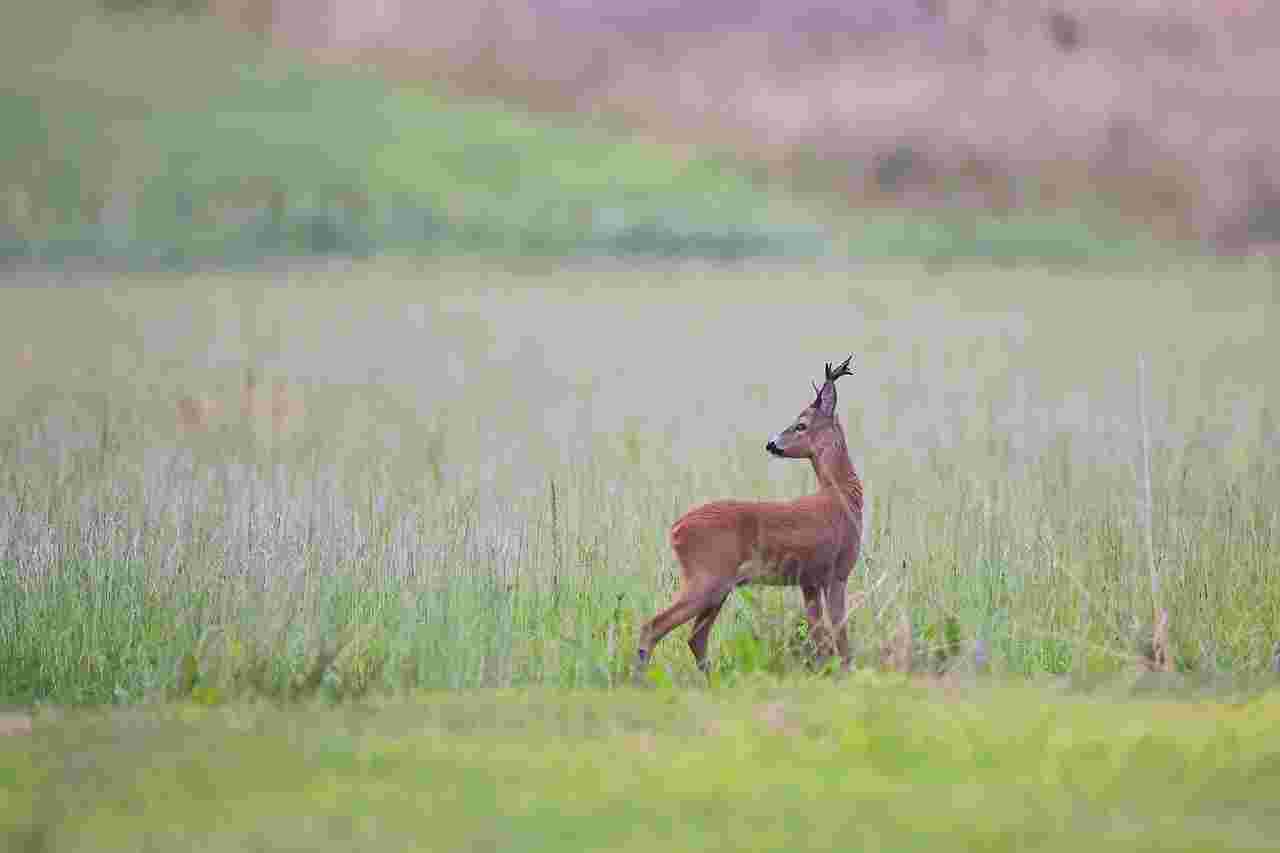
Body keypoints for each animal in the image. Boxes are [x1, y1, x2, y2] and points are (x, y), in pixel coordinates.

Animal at [634, 350, 865, 676]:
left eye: (801, 424)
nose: (771, 444)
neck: (842, 495)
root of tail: (675, 530)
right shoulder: (838, 570)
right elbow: (840, 635)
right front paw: (845, 672)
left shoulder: (809, 580)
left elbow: (819, 636)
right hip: (707, 577)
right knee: (655, 625)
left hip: (718, 586)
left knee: (695, 637)